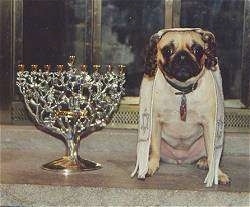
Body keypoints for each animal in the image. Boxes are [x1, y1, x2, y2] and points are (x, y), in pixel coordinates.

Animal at [141, 27, 229, 184]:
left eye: (197, 50)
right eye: (167, 50)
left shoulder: (209, 125)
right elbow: (156, 149)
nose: (182, 56)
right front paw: (151, 166)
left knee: (208, 153)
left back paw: (204, 161)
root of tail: (181, 159)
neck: (182, 91)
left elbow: (213, 153)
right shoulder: (155, 122)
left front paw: (217, 173)